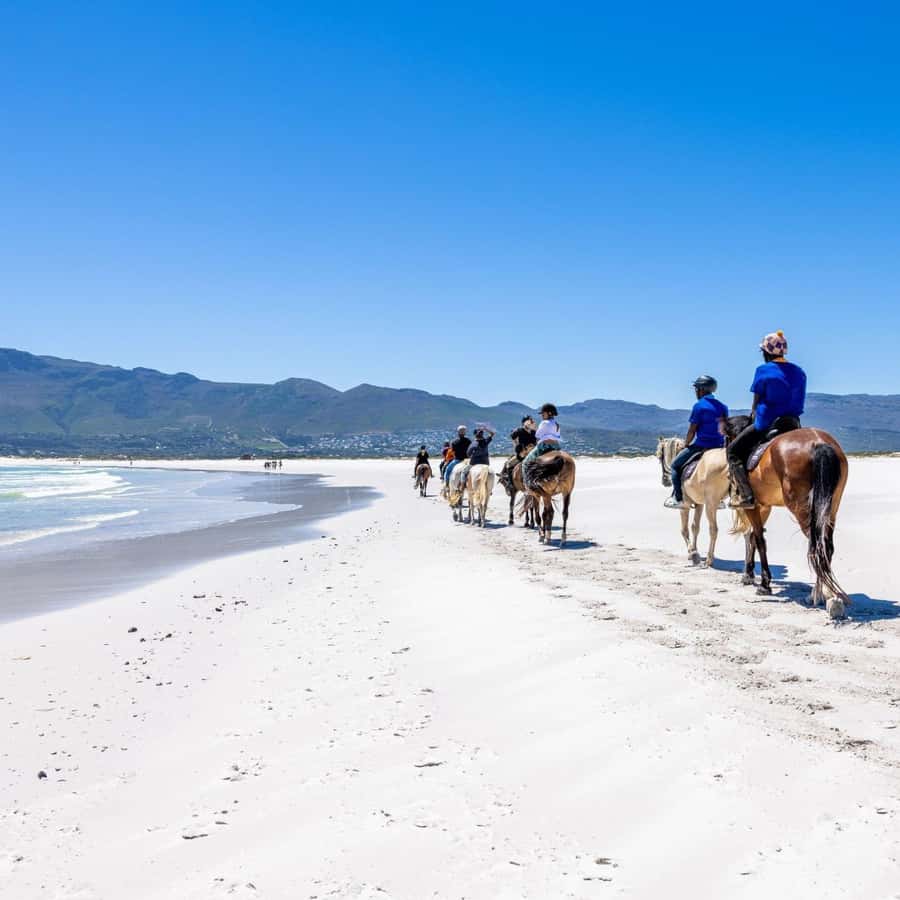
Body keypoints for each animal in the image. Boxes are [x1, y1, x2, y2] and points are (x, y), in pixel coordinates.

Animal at [656, 436, 730, 567]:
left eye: (660, 456)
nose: (664, 481)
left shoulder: (684, 506)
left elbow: (684, 530)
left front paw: (692, 553)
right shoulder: (699, 504)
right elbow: (695, 527)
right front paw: (695, 550)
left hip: (711, 505)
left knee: (713, 530)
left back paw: (709, 559)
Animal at [724, 415, 850, 619]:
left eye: (727, 439)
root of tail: (819, 443)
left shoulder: (753, 506)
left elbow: (759, 539)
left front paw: (764, 584)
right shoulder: (765, 506)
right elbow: (753, 537)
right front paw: (749, 575)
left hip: (802, 509)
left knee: (816, 546)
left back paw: (825, 597)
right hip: (830, 508)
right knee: (826, 547)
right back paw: (824, 594)